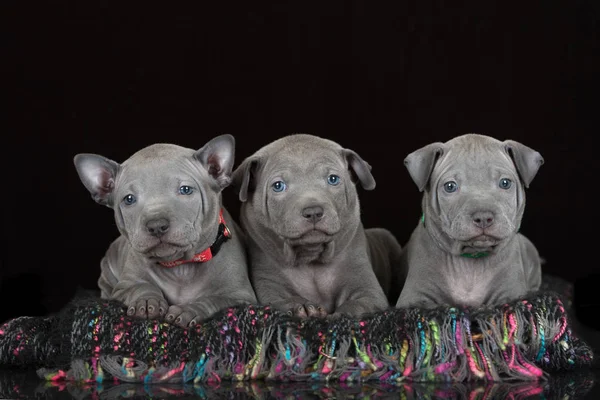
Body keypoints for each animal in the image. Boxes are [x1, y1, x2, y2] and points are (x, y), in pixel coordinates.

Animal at [72, 135, 255, 328]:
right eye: (129, 199)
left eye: (185, 190)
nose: (156, 225)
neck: (180, 266)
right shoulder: (124, 287)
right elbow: (139, 287)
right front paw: (146, 302)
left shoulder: (239, 296)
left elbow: (214, 300)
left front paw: (189, 309)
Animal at [232, 134, 400, 318]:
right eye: (278, 186)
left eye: (333, 179)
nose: (313, 212)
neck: (310, 257)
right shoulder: (269, 285)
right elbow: (278, 302)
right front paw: (302, 307)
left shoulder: (366, 288)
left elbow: (358, 304)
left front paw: (341, 315)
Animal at [396, 134, 548, 310]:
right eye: (450, 186)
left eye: (505, 183)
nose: (483, 217)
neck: (470, 262)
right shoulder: (413, 297)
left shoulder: (511, 295)